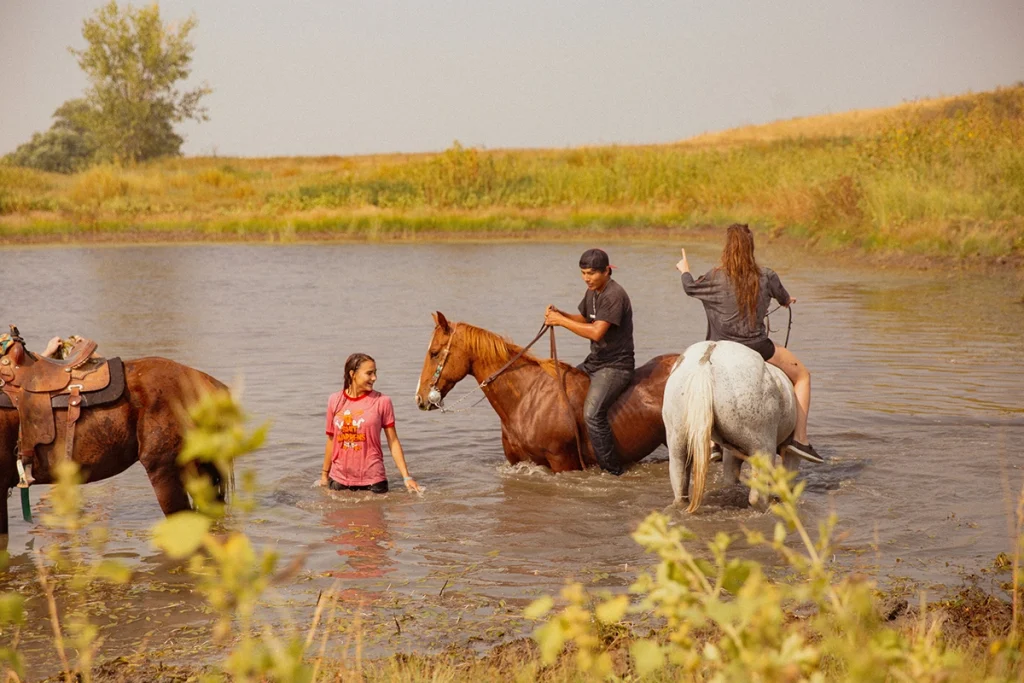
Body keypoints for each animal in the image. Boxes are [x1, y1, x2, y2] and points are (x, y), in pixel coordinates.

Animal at [662, 340, 819, 513]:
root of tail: (705, 363)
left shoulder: (732, 453)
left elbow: (731, 478)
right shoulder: (789, 453)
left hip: (677, 441)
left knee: (679, 486)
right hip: (763, 447)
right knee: (757, 497)